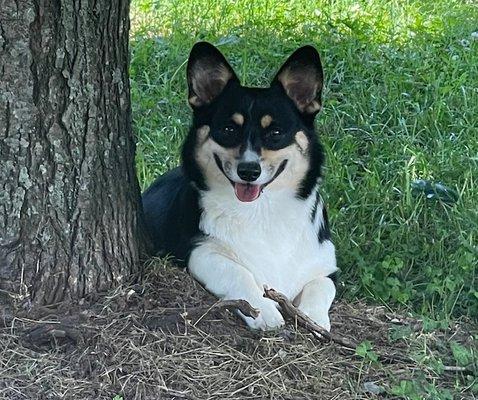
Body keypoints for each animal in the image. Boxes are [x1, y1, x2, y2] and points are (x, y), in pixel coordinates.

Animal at [141, 42, 336, 332]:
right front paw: (264, 311)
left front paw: (314, 318)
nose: (249, 171)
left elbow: (321, 285)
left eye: (275, 133)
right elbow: (238, 272)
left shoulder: (326, 264)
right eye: (228, 129)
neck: (262, 210)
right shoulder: (201, 251)